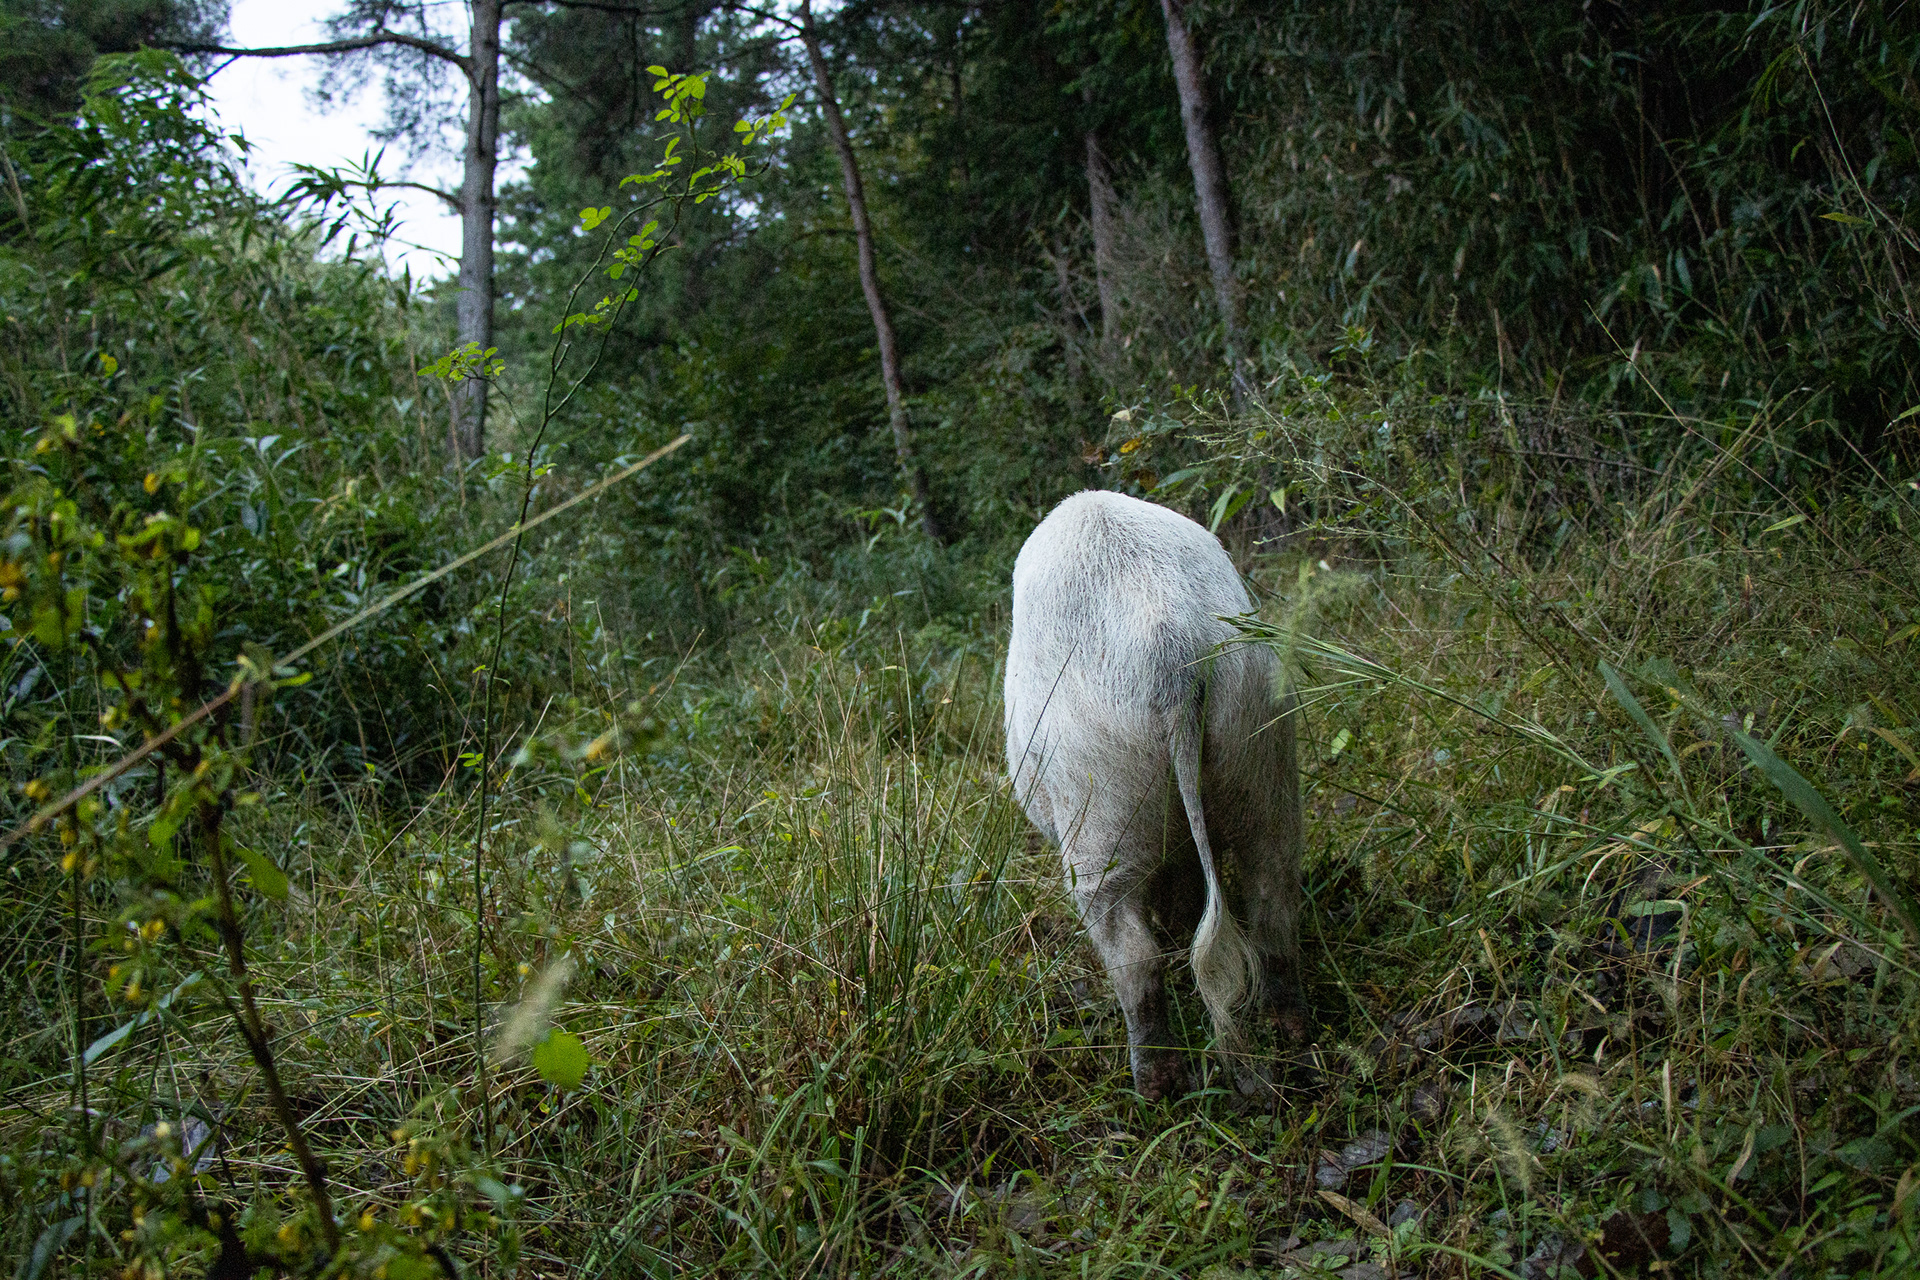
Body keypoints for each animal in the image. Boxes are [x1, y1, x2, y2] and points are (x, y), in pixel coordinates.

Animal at [1003, 490, 1303, 1100]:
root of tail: (1172, 651)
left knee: (1132, 952)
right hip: (1262, 732)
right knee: (1274, 887)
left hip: (1097, 799)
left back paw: (1155, 1087)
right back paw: (1290, 1030)